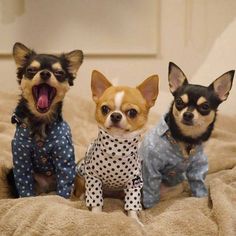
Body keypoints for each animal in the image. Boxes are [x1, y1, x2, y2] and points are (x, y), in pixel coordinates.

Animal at [6, 42, 83, 199]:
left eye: (59, 73)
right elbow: (24, 184)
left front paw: (62, 199)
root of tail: (45, 190)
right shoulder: (21, 155)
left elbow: (65, 182)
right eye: (31, 70)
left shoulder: (64, 154)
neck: (40, 121)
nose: (45, 73)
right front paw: (27, 199)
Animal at [76, 70, 159, 225]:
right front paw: (96, 216)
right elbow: (96, 201)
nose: (115, 115)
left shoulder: (134, 184)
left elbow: (132, 205)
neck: (117, 147)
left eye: (132, 112)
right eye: (105, 109)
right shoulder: (93, 178)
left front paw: (134, 220)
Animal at [140, 61, 234, 207]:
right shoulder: (151, 166)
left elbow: (198, 182)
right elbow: (151, 187)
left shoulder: (198, 166)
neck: (186, 139)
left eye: (205, 107)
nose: (188, 114)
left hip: (176, 188)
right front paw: (149, 206)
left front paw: (201, 198)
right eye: (179, 102)